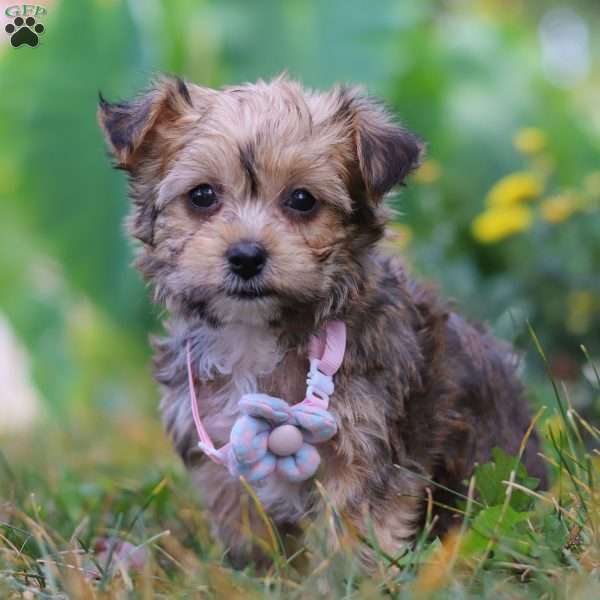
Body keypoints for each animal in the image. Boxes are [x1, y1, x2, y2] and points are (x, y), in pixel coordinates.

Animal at [98, 75, 548, 568]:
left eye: (302, 200)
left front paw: (347, 575)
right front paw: (255, 571)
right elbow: (245, 522)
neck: (257, 334)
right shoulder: (224, 447)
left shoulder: (366, 448)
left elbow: (353, 525)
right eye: (202, 196)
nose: (246, 256)